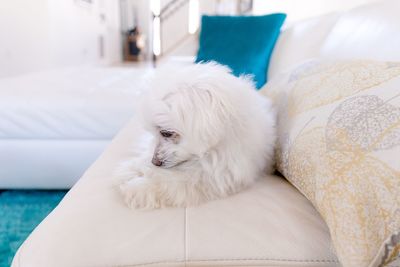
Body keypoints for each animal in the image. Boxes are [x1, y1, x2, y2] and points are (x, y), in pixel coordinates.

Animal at [117, 63, 276, 211]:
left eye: (166, 133)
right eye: (155, 133)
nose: (155, 162)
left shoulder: (215, 176)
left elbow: (170, 181)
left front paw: (138, 187)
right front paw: (131, 169)